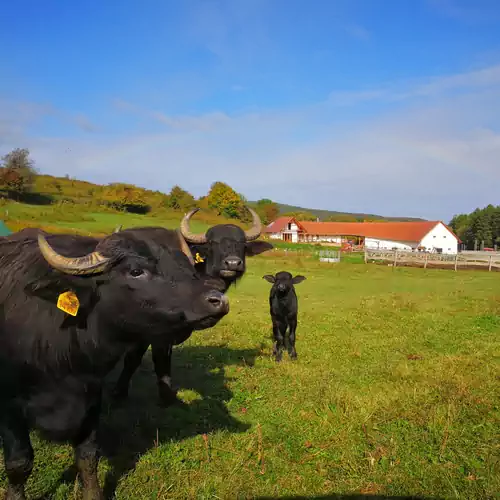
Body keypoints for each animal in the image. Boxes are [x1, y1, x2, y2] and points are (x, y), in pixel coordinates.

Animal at [0, 229, 229, 498]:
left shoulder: (91, 395)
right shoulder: (9, 407)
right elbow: (19, 463)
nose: (218, 301)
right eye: (136, 271)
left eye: (187, 268)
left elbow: (88, 456)